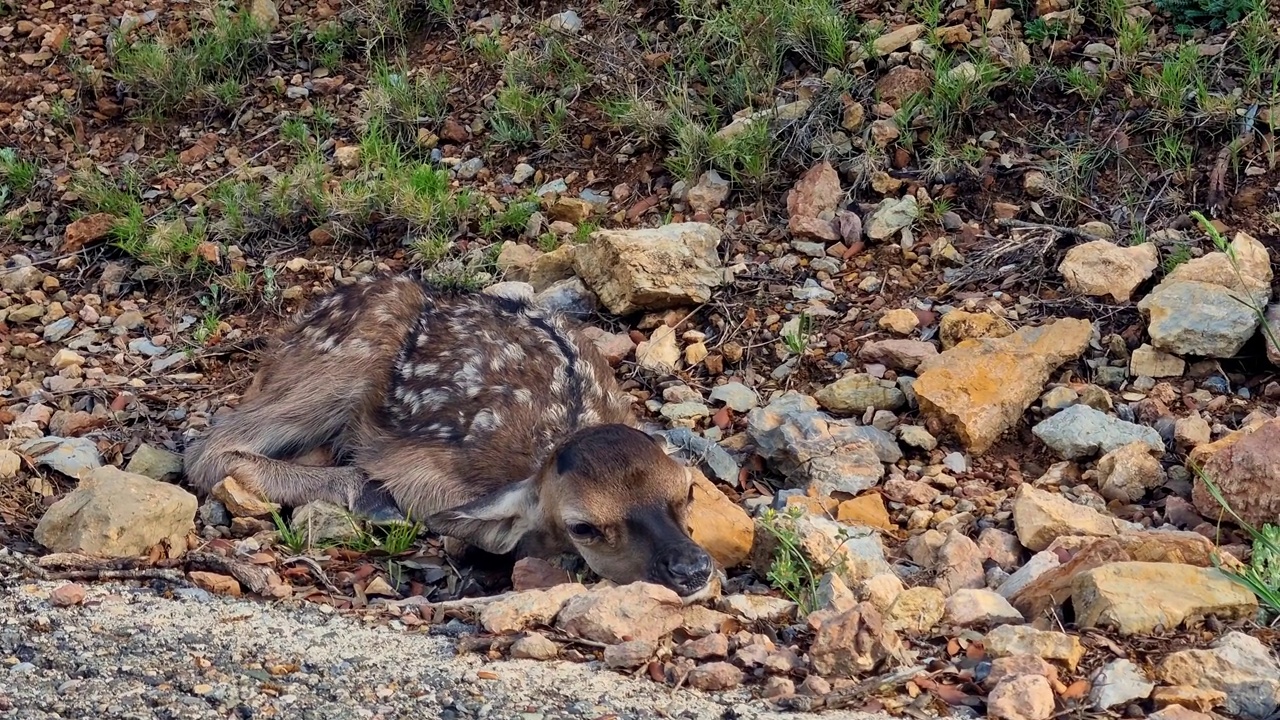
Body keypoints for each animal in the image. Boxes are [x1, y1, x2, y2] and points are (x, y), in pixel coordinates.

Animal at [183, 271, 721, 597]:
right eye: (583, 526)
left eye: (687, 492)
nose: (691, 568)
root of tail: (286, 333)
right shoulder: (417, 466)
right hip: (342, 361)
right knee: (207, 448)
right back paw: (368, 495)